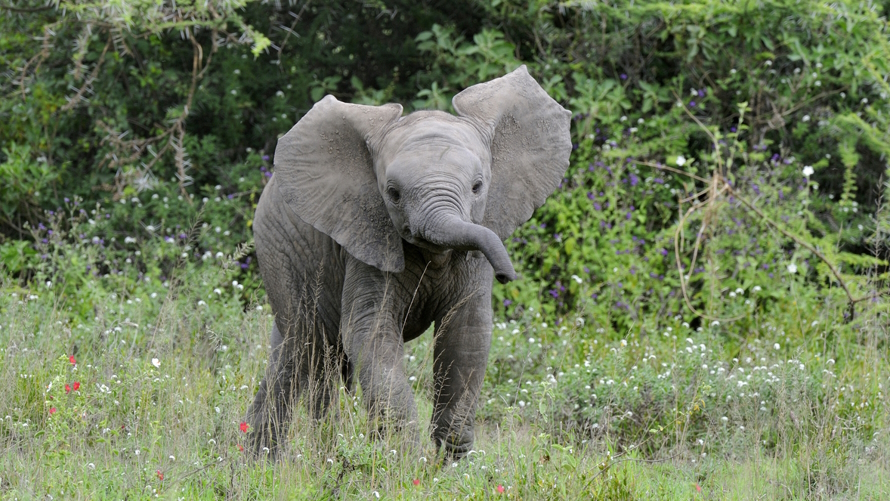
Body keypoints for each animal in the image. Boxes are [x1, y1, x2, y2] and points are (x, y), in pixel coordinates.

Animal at [247, 65, 571, 458]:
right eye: (393, 193)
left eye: (478, 187)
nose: (508, 276)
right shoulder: (367, 240)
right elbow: (371, 332)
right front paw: (403, 459)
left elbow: (467, 334)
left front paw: (449, 462)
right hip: (279, 250)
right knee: (303, 348)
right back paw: (279, 462)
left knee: (291, 354)